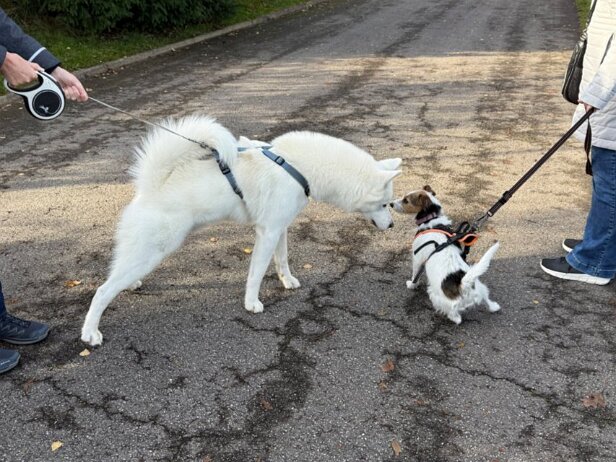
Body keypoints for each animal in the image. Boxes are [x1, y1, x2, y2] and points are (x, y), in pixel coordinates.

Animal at [81, 115, 401, 345]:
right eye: (385, 204)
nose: (392, 225)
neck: (298, 166)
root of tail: (151, 185)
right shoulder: (267, 233)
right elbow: (256, 273)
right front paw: (252, 303)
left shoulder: (280, 228)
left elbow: (282, 261)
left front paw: (287, 281)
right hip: (155, 250)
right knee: (102, 291)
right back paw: (90, 333)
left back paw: (130, 285)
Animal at [390, 185, 500, 324]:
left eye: (406, 200)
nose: (390, 204)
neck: (432, 220)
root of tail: (463, 284)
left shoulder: (417, 259)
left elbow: (415, 275)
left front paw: (412, 284)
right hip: (481, 288)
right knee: (487, 299)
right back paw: (494, 306)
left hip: (437, 297)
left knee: (456, 318)